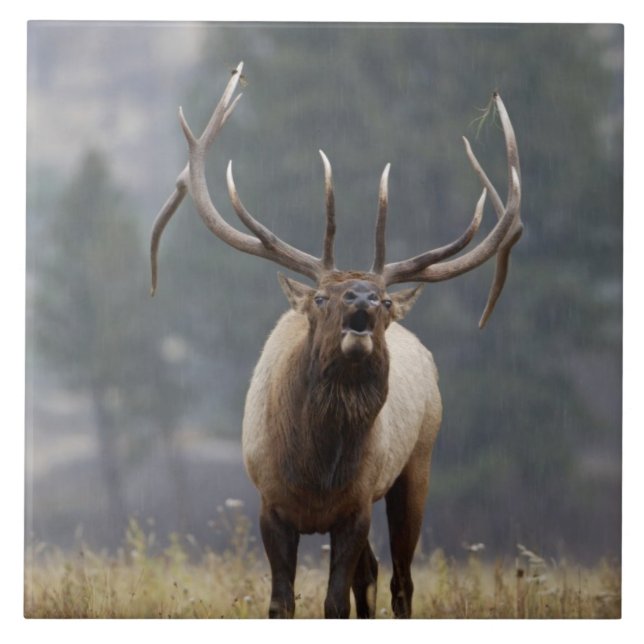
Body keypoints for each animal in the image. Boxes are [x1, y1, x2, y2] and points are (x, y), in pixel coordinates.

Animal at [150, 62, 522, 618]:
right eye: (322, 298)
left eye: (385, 302)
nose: (363, 298)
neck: (317, 472)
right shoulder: (270, 504)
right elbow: (282, 603)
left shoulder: (355, 506)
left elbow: (335, 602)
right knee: (373, 573)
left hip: (418, 464)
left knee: (400, 579)